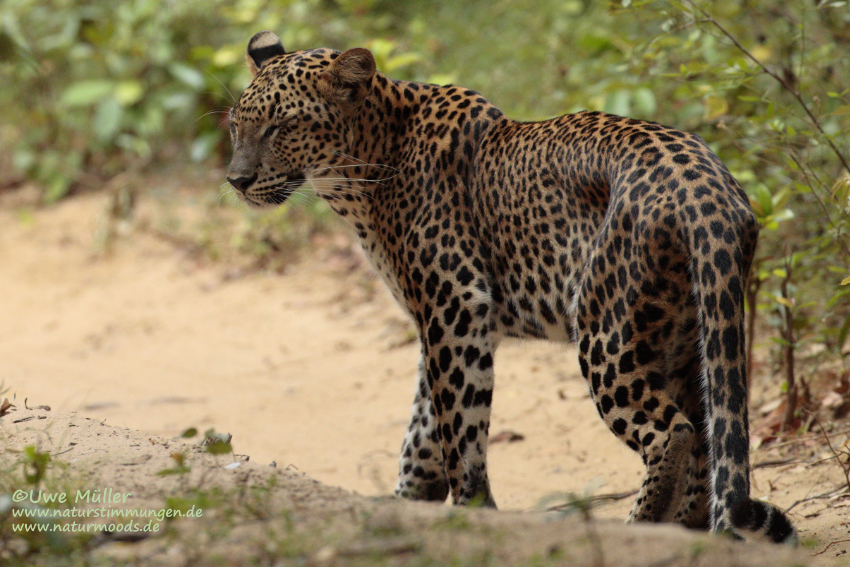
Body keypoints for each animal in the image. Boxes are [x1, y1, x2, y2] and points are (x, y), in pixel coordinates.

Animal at [226, 30, 796, 544]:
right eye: (236, 126)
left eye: (282, 127)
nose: (236, 180)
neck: (361, 173)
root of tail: (707, 189)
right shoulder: (446, 321)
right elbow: (422, 427)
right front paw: (409, 502)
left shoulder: (455, 306)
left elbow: (458, 427)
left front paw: (472, 512)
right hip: (683, 335)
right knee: (705, 434)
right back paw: (690, 530)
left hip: (605, 327)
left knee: (673, 432)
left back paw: (642, 527)